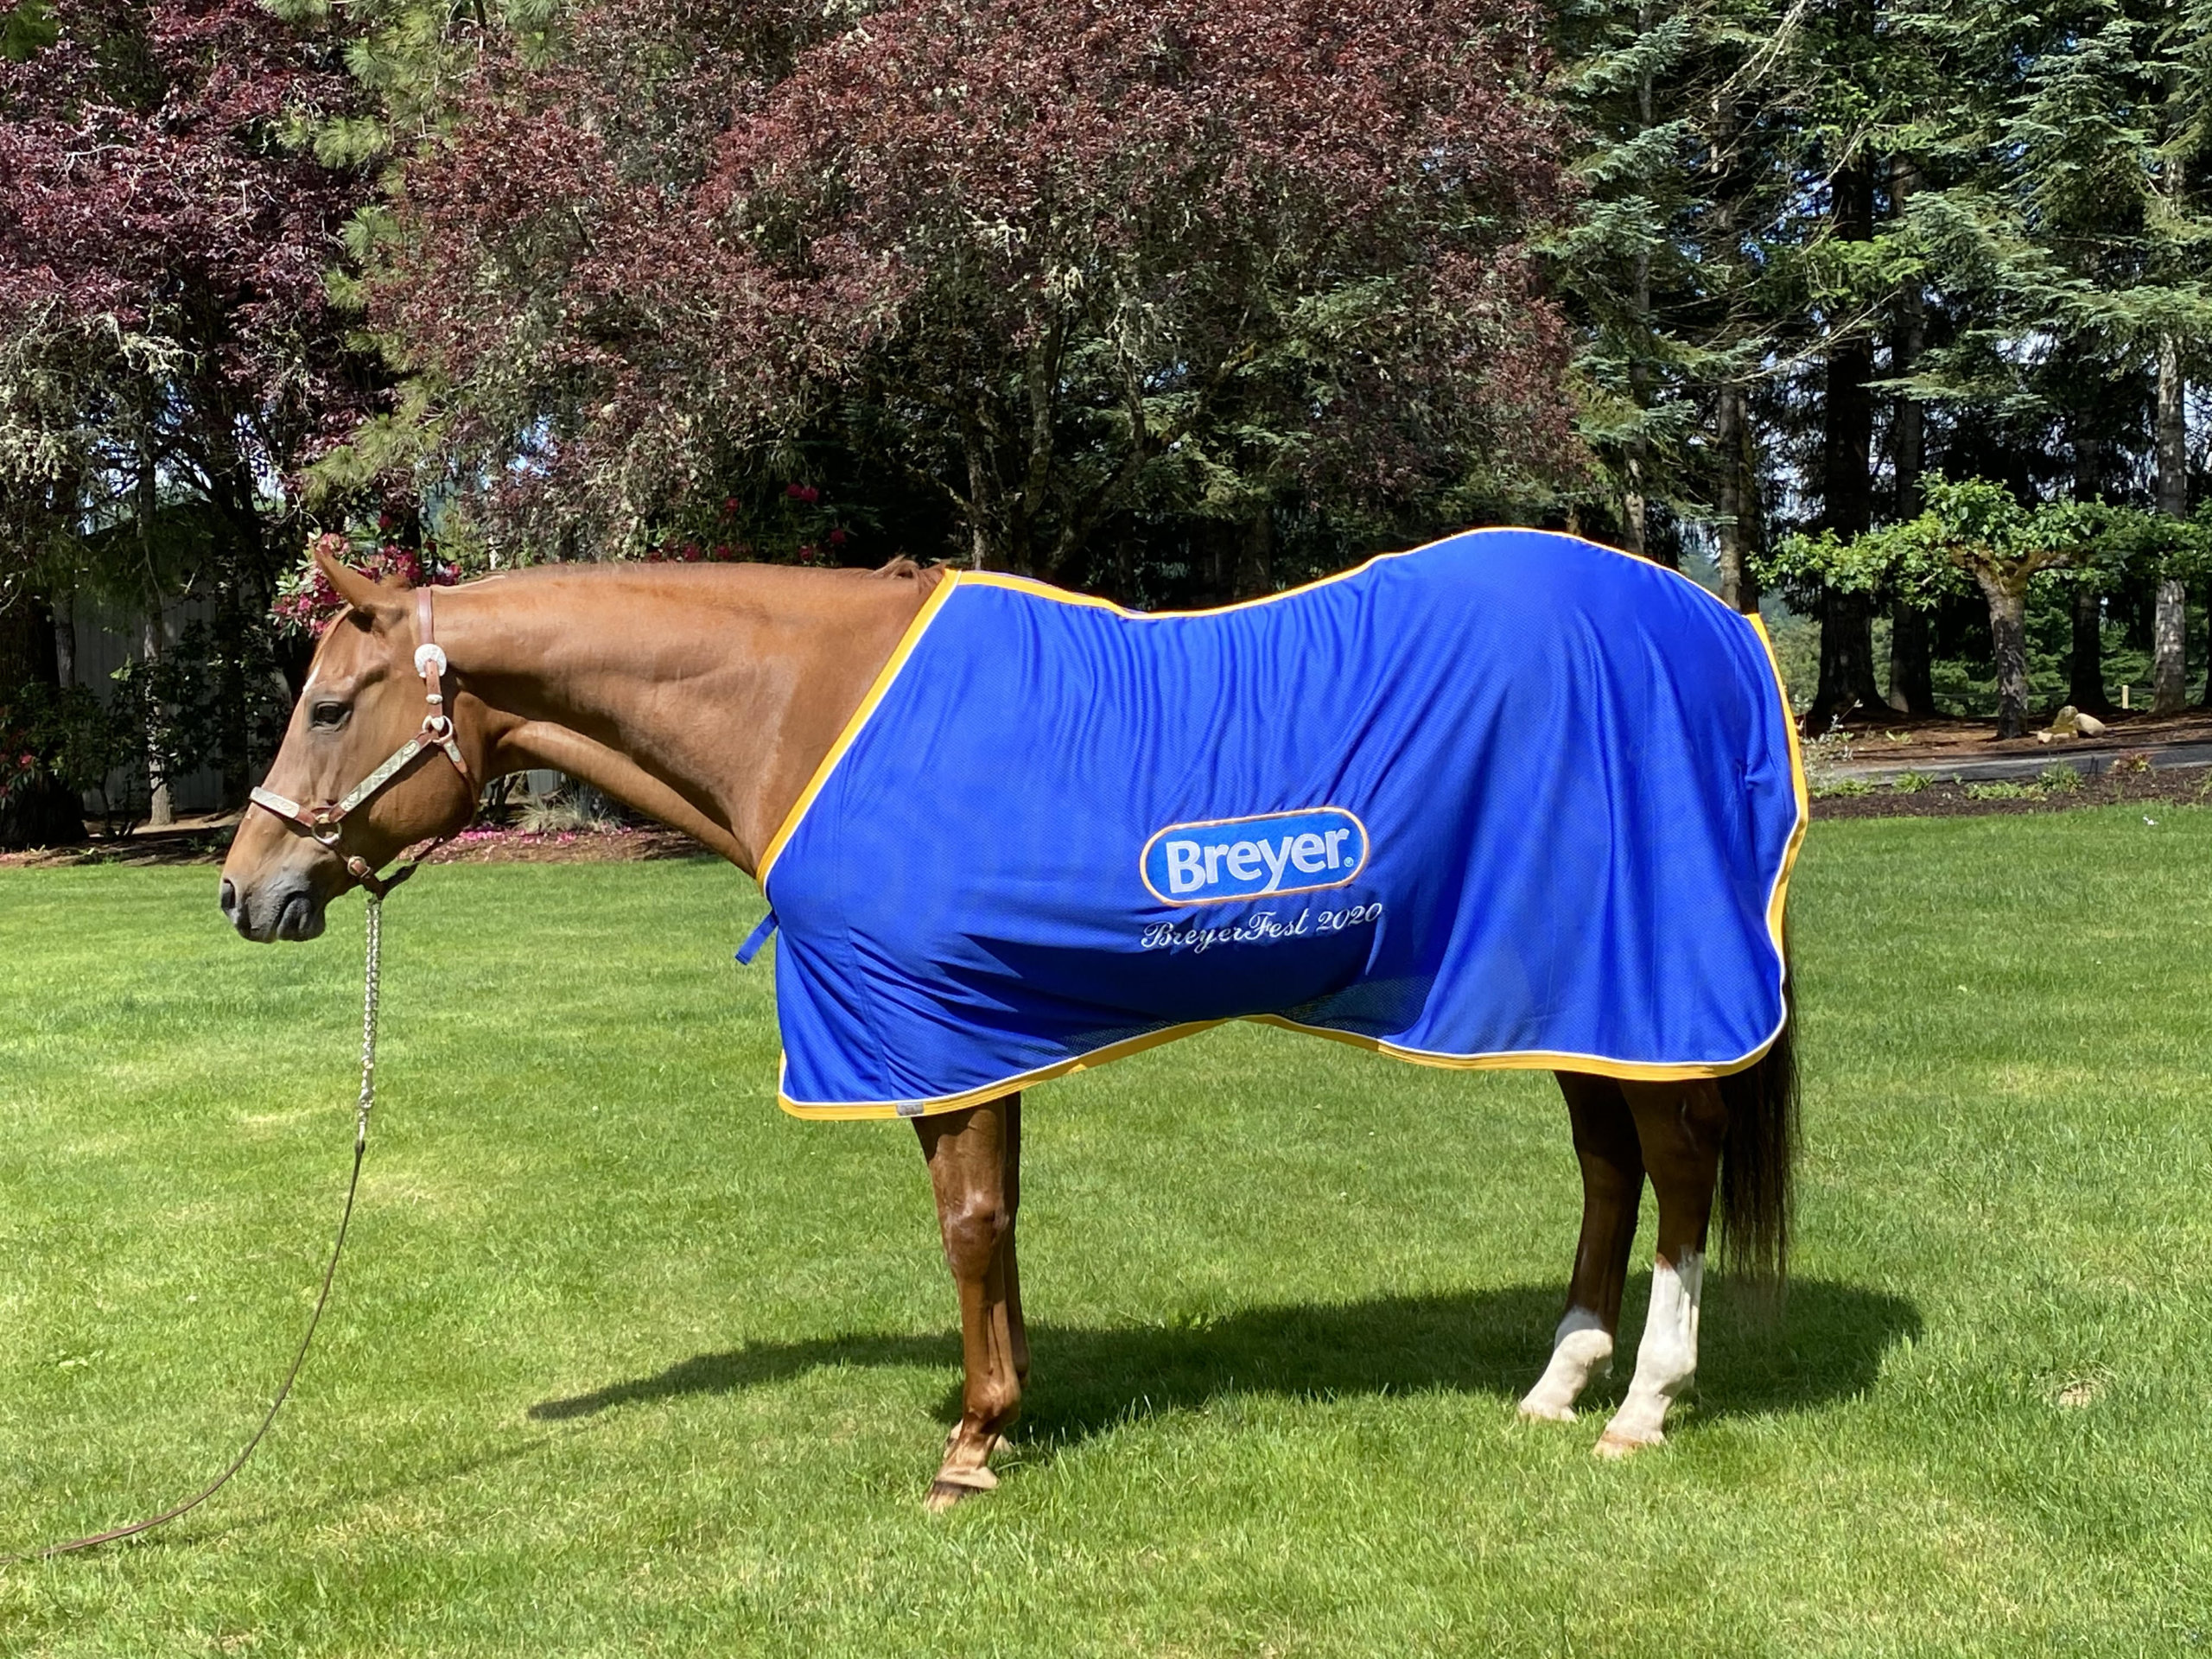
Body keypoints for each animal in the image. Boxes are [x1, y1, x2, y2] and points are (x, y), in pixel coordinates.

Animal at [220, 540, 1800, 1510]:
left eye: (330, 705)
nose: (245, 889)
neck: (805, 708)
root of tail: (1712, 622)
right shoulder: (983, 1023)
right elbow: (1005, 1220)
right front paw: (1013, 1405)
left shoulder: (931, 1027)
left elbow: (969, 1225)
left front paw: (973, 1446)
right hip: (1565, 981)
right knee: (1610, 1165)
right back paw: (1557, 1385)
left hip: (1641, 967)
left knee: (1678, 1164)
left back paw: (1645, 1404)